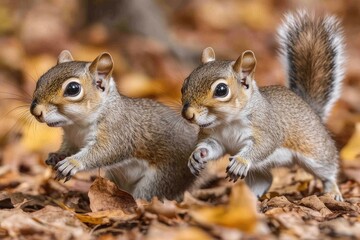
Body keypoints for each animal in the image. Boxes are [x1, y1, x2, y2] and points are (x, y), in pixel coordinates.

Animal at [29, 50, 198, 201]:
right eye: (40, 80)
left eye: (73, 89)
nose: (35, 111)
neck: (76, 126)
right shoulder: (71, 139)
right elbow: (68, 148)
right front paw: (57, 155)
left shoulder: (118, 129)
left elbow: (106, 150)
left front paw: (73, 163)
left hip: (163, 178)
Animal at [181, 11, 344, 201]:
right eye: (184, 84)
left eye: (221, 90)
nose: (188, 114)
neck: (227, 122)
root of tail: (311, 109)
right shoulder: (216, 138)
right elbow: (211, 147)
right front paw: (197, 155)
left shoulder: (267, 127)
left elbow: (264, 145)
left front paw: (241, 161)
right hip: (259, 170)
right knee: (265, 179)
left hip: (315, 151)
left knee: (328, 170)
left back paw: (333, 191)